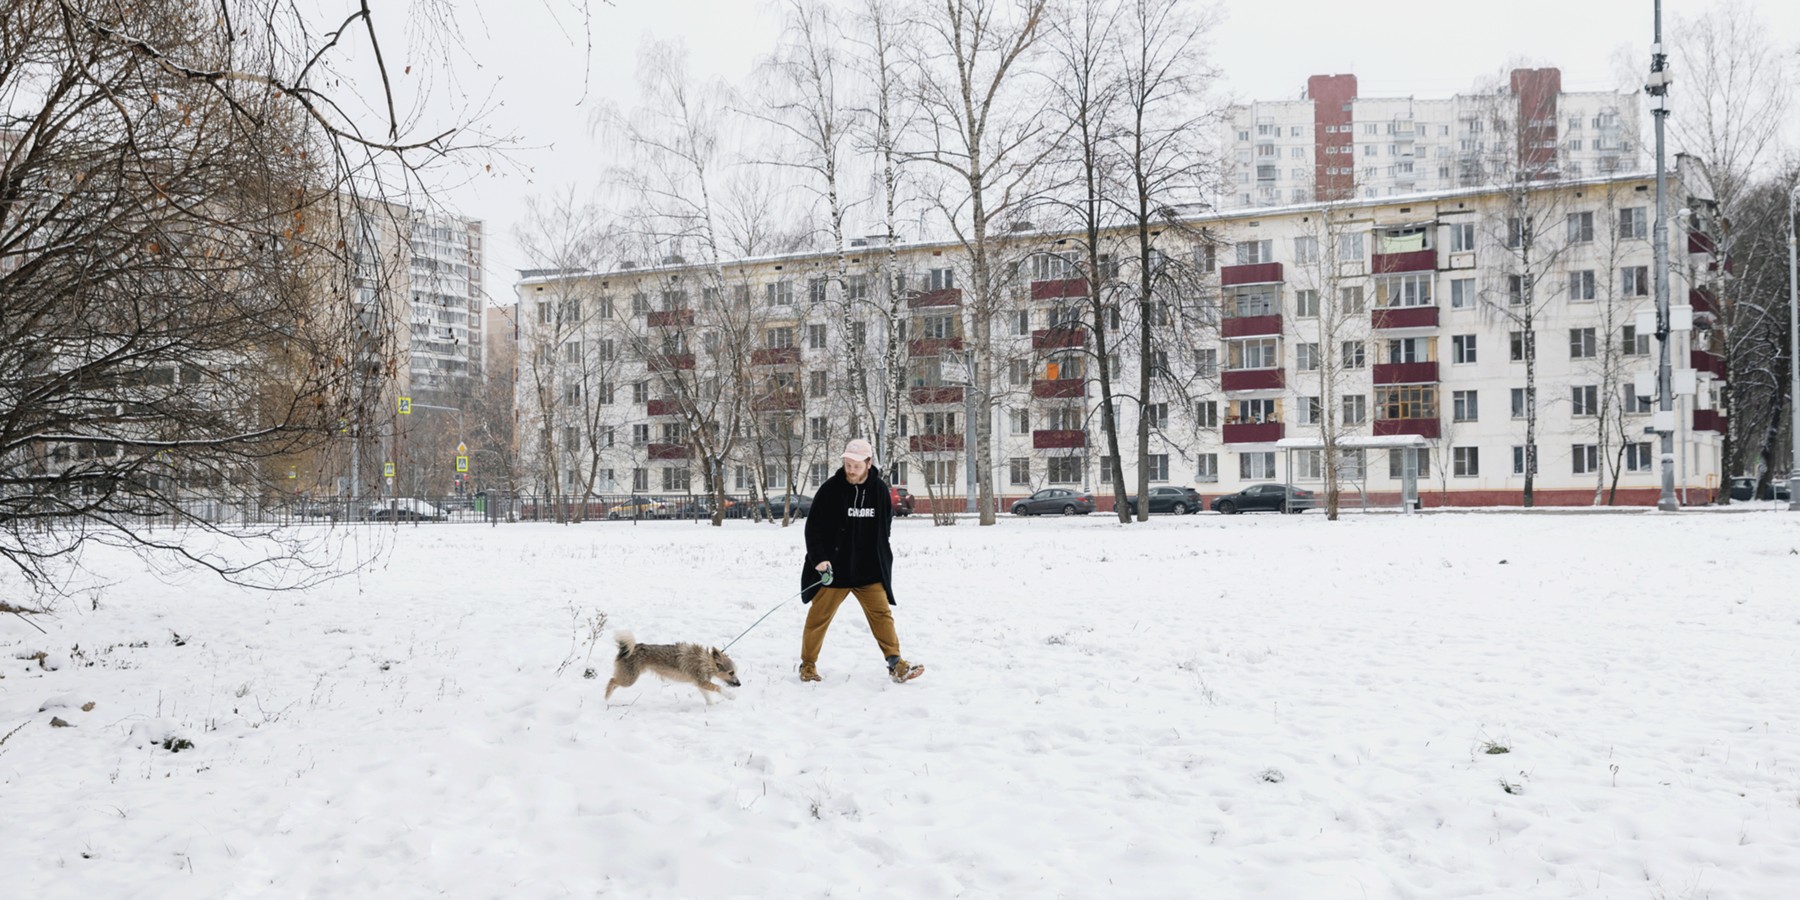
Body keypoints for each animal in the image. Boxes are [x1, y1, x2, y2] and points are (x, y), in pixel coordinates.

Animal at [608, 633, 741, 702]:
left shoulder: (701, 683)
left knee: (614, 681)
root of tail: (627, 649)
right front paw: (731, 696)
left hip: (626, 677)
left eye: (734, 672)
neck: (705, 662)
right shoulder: (702, 682)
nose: (739, 684)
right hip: (629, 679)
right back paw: (606, 698)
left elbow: (708, 697)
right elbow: (719, 687)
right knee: (611, 681)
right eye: (731, 672)